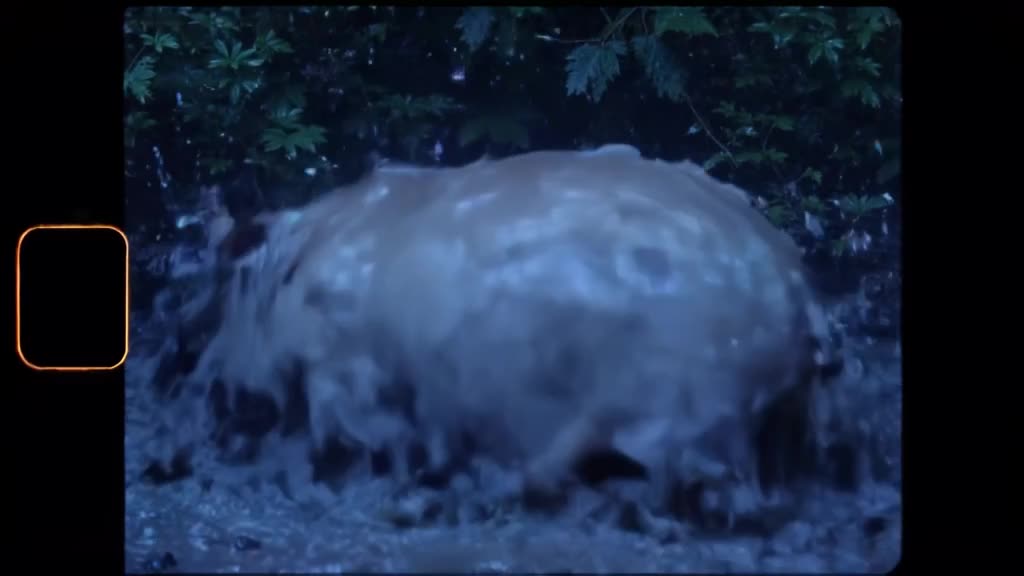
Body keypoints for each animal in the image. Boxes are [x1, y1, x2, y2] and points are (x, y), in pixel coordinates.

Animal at [190, 144, 836, 504]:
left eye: (227, 290)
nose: (218, 394)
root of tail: (800, 305)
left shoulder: (344, 376)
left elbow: (358, 438)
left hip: (677, 405)